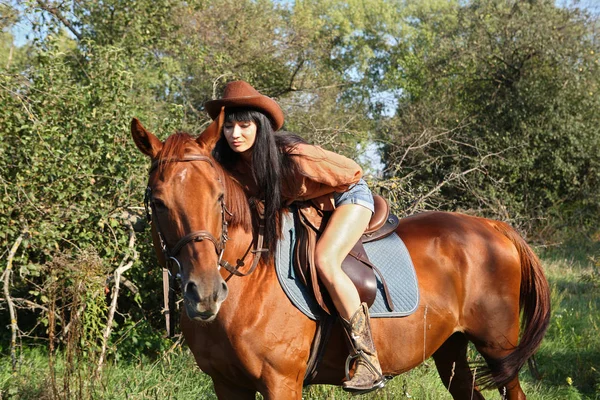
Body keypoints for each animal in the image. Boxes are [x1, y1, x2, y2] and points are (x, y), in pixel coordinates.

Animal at [132, 119, 552, 400]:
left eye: (219, 197)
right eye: (157, 201)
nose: (205, 293)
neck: (246, 285)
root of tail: (492, 225)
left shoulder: (281, 382)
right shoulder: (227, 384)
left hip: (498, 350)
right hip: (451, 348)